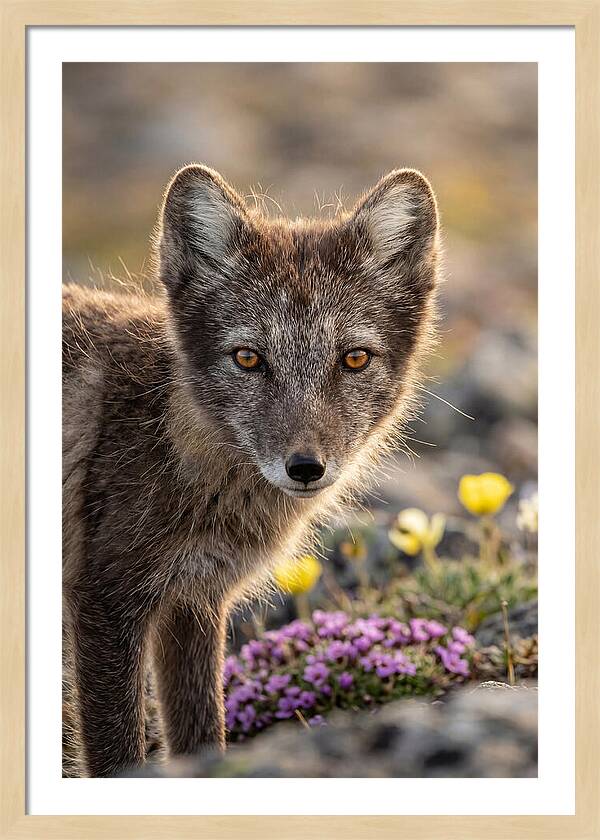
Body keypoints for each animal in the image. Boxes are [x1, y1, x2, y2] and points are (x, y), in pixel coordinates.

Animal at [62, 164, 441, 777]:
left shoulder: (193, 602)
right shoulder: (105, 600)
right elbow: (118, 757)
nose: (306, 468)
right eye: (248, 358)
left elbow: (202, 737)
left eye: (354, 359)